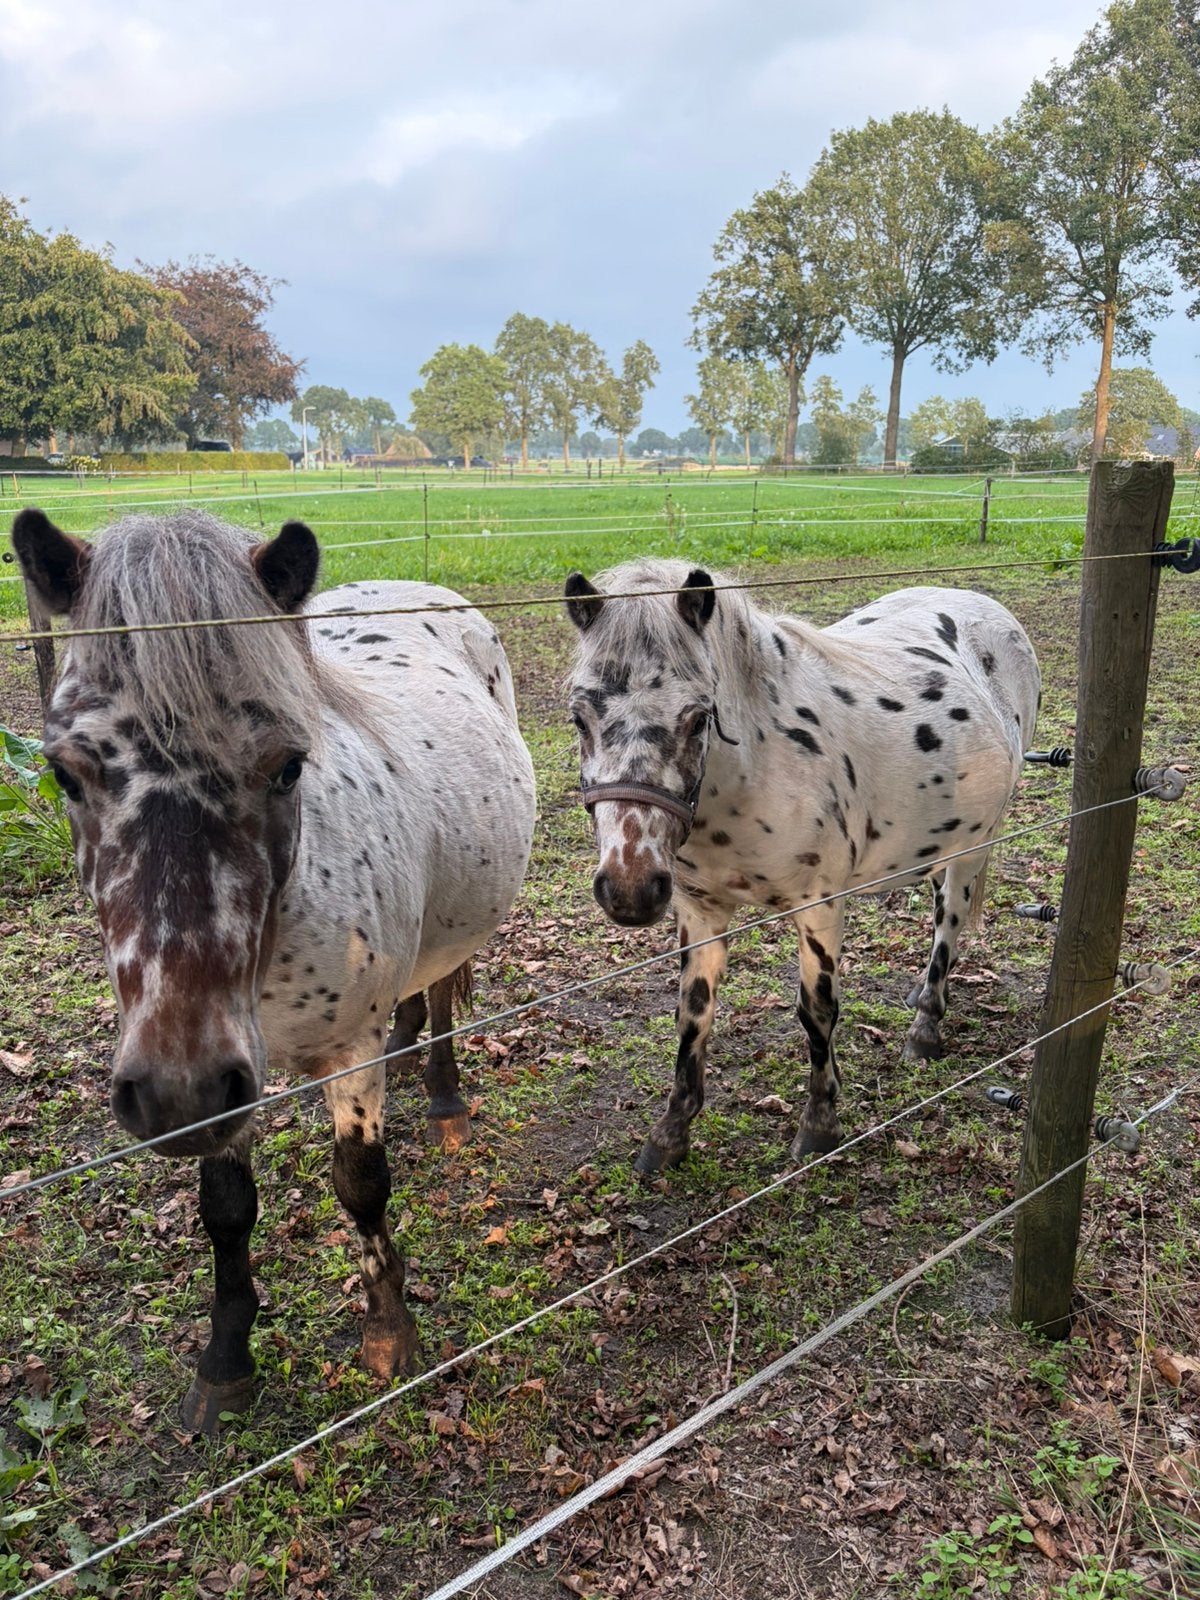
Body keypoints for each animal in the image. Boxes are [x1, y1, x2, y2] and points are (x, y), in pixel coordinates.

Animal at [12, 507, 536, 1433]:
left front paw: (389, 1334)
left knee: (441, 991)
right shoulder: (225, 1084)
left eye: (288, 765)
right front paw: (225, 1362)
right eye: (64, 775)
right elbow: (225, 1210)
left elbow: (360, 1185)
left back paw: (442, 1096)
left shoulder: (343, 1053)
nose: (174, 1092)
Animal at [564, 558, 1040, 1178]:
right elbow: (693, 1015)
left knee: (948, 924)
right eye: (579, 718)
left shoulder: (819, 908)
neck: (755, 769)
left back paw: (926, 1025)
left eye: (698, 718)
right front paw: (669, 1134)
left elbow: (817, 1012)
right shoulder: (700, 910)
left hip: (972, 847)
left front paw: (819, 1125)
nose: (630, 889)